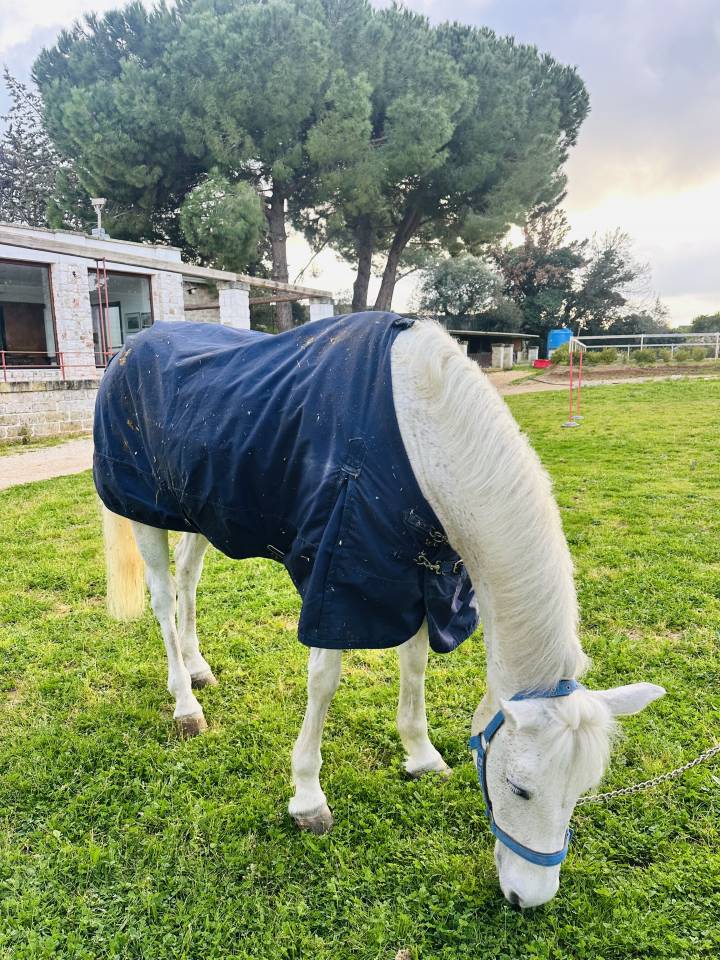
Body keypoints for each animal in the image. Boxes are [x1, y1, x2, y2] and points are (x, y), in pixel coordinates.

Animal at [95, 312, 664, 908]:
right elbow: (324, 681)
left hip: (200, 509)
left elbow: (414, 666)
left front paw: (422, 755)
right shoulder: (336, 578)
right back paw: (185, 702)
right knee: (164, 597)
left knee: (188, 578)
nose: (529, 898)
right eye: (519, 788)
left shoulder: (418, 576)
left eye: (582, 789)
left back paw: (199, 667)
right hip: (144, 511)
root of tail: (130, 349)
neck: (420, 435)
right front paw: (308, 798)